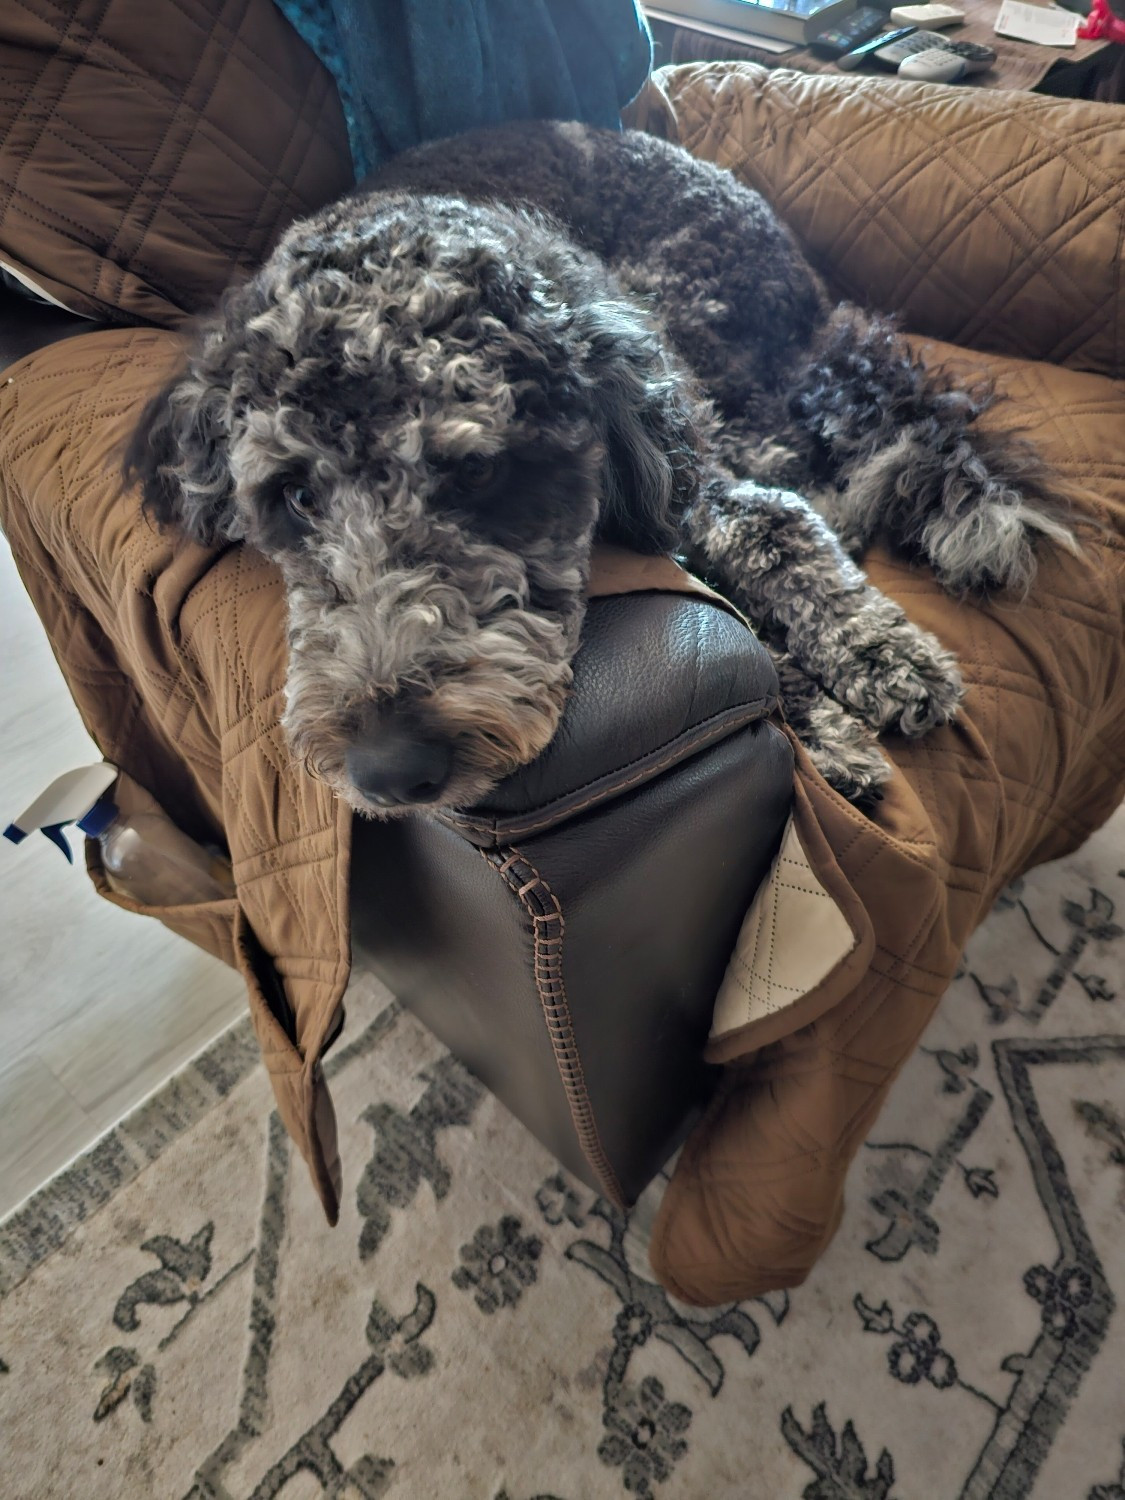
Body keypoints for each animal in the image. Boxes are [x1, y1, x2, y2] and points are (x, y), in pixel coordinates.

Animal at [123, 118, 1074, 822]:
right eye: (293, 495)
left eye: (478, 473)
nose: (389, 769)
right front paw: (821, 726)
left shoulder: (686, 471)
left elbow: (776, 526)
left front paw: (883, 656)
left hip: (692, 325)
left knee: (783, 466)